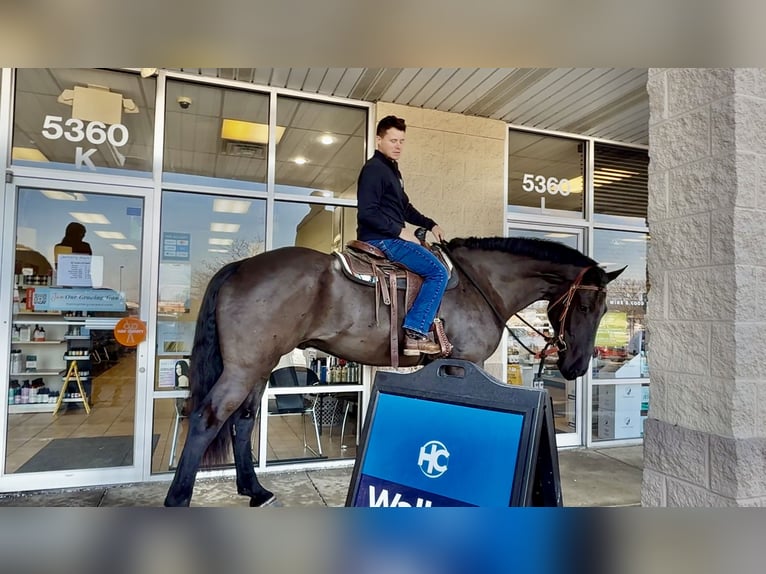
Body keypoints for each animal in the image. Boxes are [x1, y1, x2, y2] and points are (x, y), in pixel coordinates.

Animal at [164, 236, 625, 507]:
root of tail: (241, 267)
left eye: (604, 309)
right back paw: (179, 498)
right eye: (585, 305)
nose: (576, 366)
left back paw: (255, 491)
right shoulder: (466, 362)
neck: (480, 285)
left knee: (243, 422)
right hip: (244, 367)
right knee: (207, 418)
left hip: (259, 367)